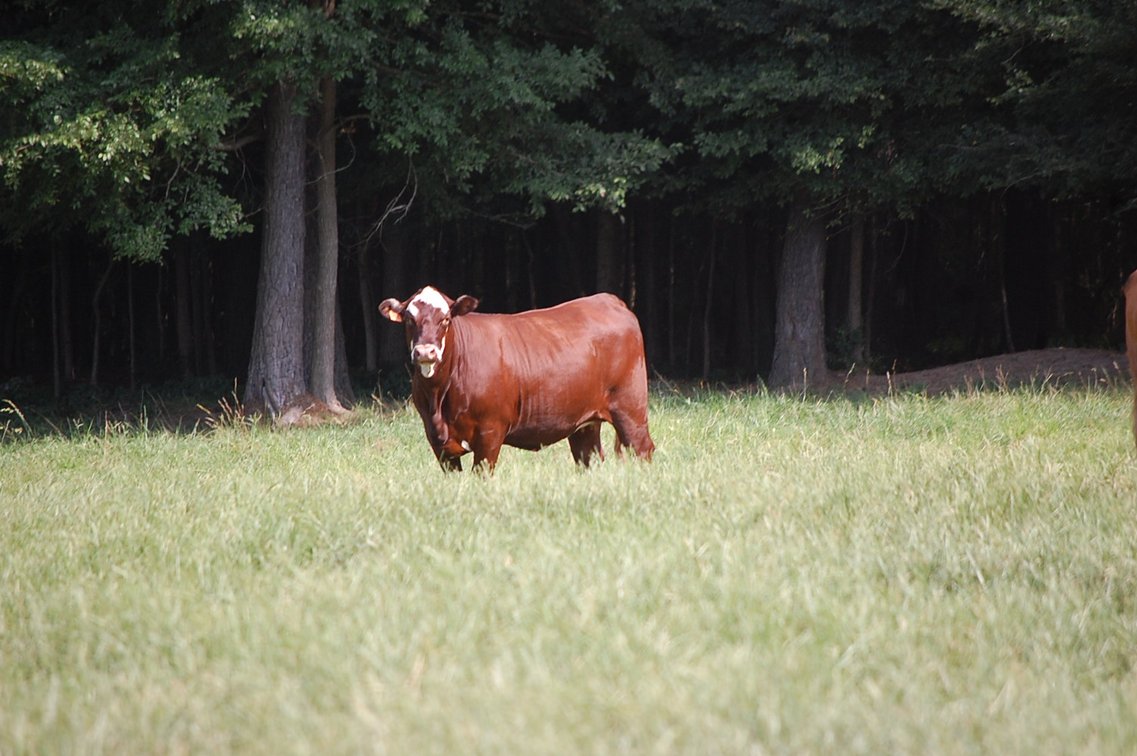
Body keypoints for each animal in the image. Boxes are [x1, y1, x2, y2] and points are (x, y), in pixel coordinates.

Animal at [379, 286, 655, 472]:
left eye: (445, 319)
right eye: (409, 319)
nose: (426, 352)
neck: (439, 396)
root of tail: (608, 299)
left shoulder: (490, 431)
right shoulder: (437, 441)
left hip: (630, 409)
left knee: (643, 449)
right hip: (583, 423)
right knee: (590, 459)